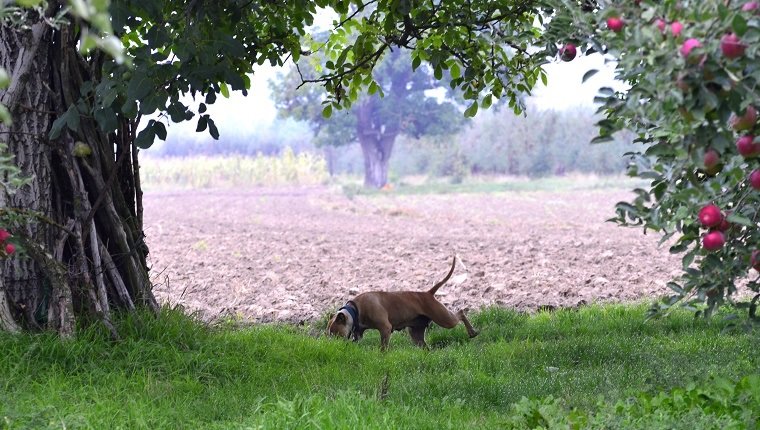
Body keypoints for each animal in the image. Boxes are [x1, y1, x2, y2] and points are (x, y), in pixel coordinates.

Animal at [326, 255, 478, 350]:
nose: (330, 343)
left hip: (444, 319)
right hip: (416, 333)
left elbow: (383, 346)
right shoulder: (358, 333)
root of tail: (428, 293)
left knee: (460, 313)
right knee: (425, 347)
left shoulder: (385, 328)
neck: (354, 310)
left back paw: (472, 332)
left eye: (334, 333)